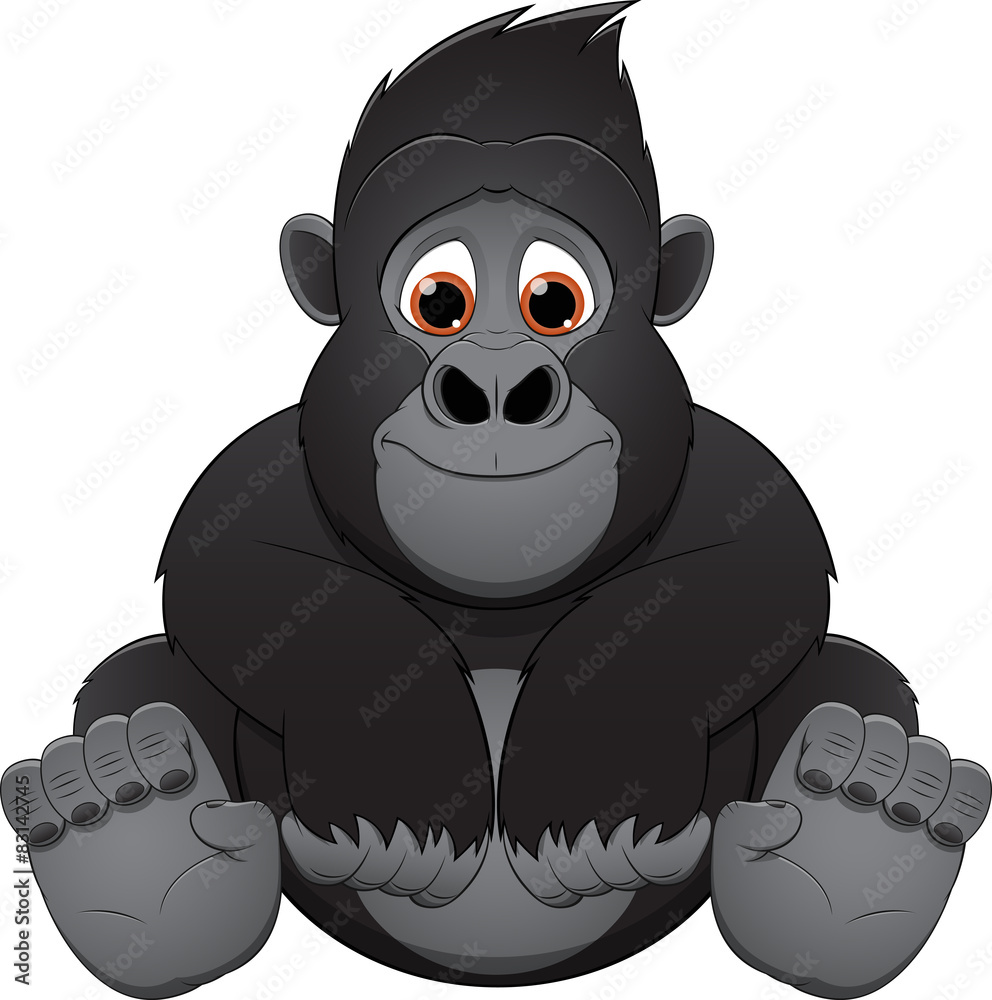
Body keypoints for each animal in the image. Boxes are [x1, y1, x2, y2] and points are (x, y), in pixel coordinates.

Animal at [3, 4, 988, 997]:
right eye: (437, 300)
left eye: (555, 300)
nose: (499, 385)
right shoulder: (256, 467)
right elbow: (231, 563)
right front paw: (393, 780)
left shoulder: (736, 469)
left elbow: (760, 568)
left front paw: (595, 777)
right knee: (137, 678)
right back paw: (135, 848)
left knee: (853, 678)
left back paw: (854, 850)